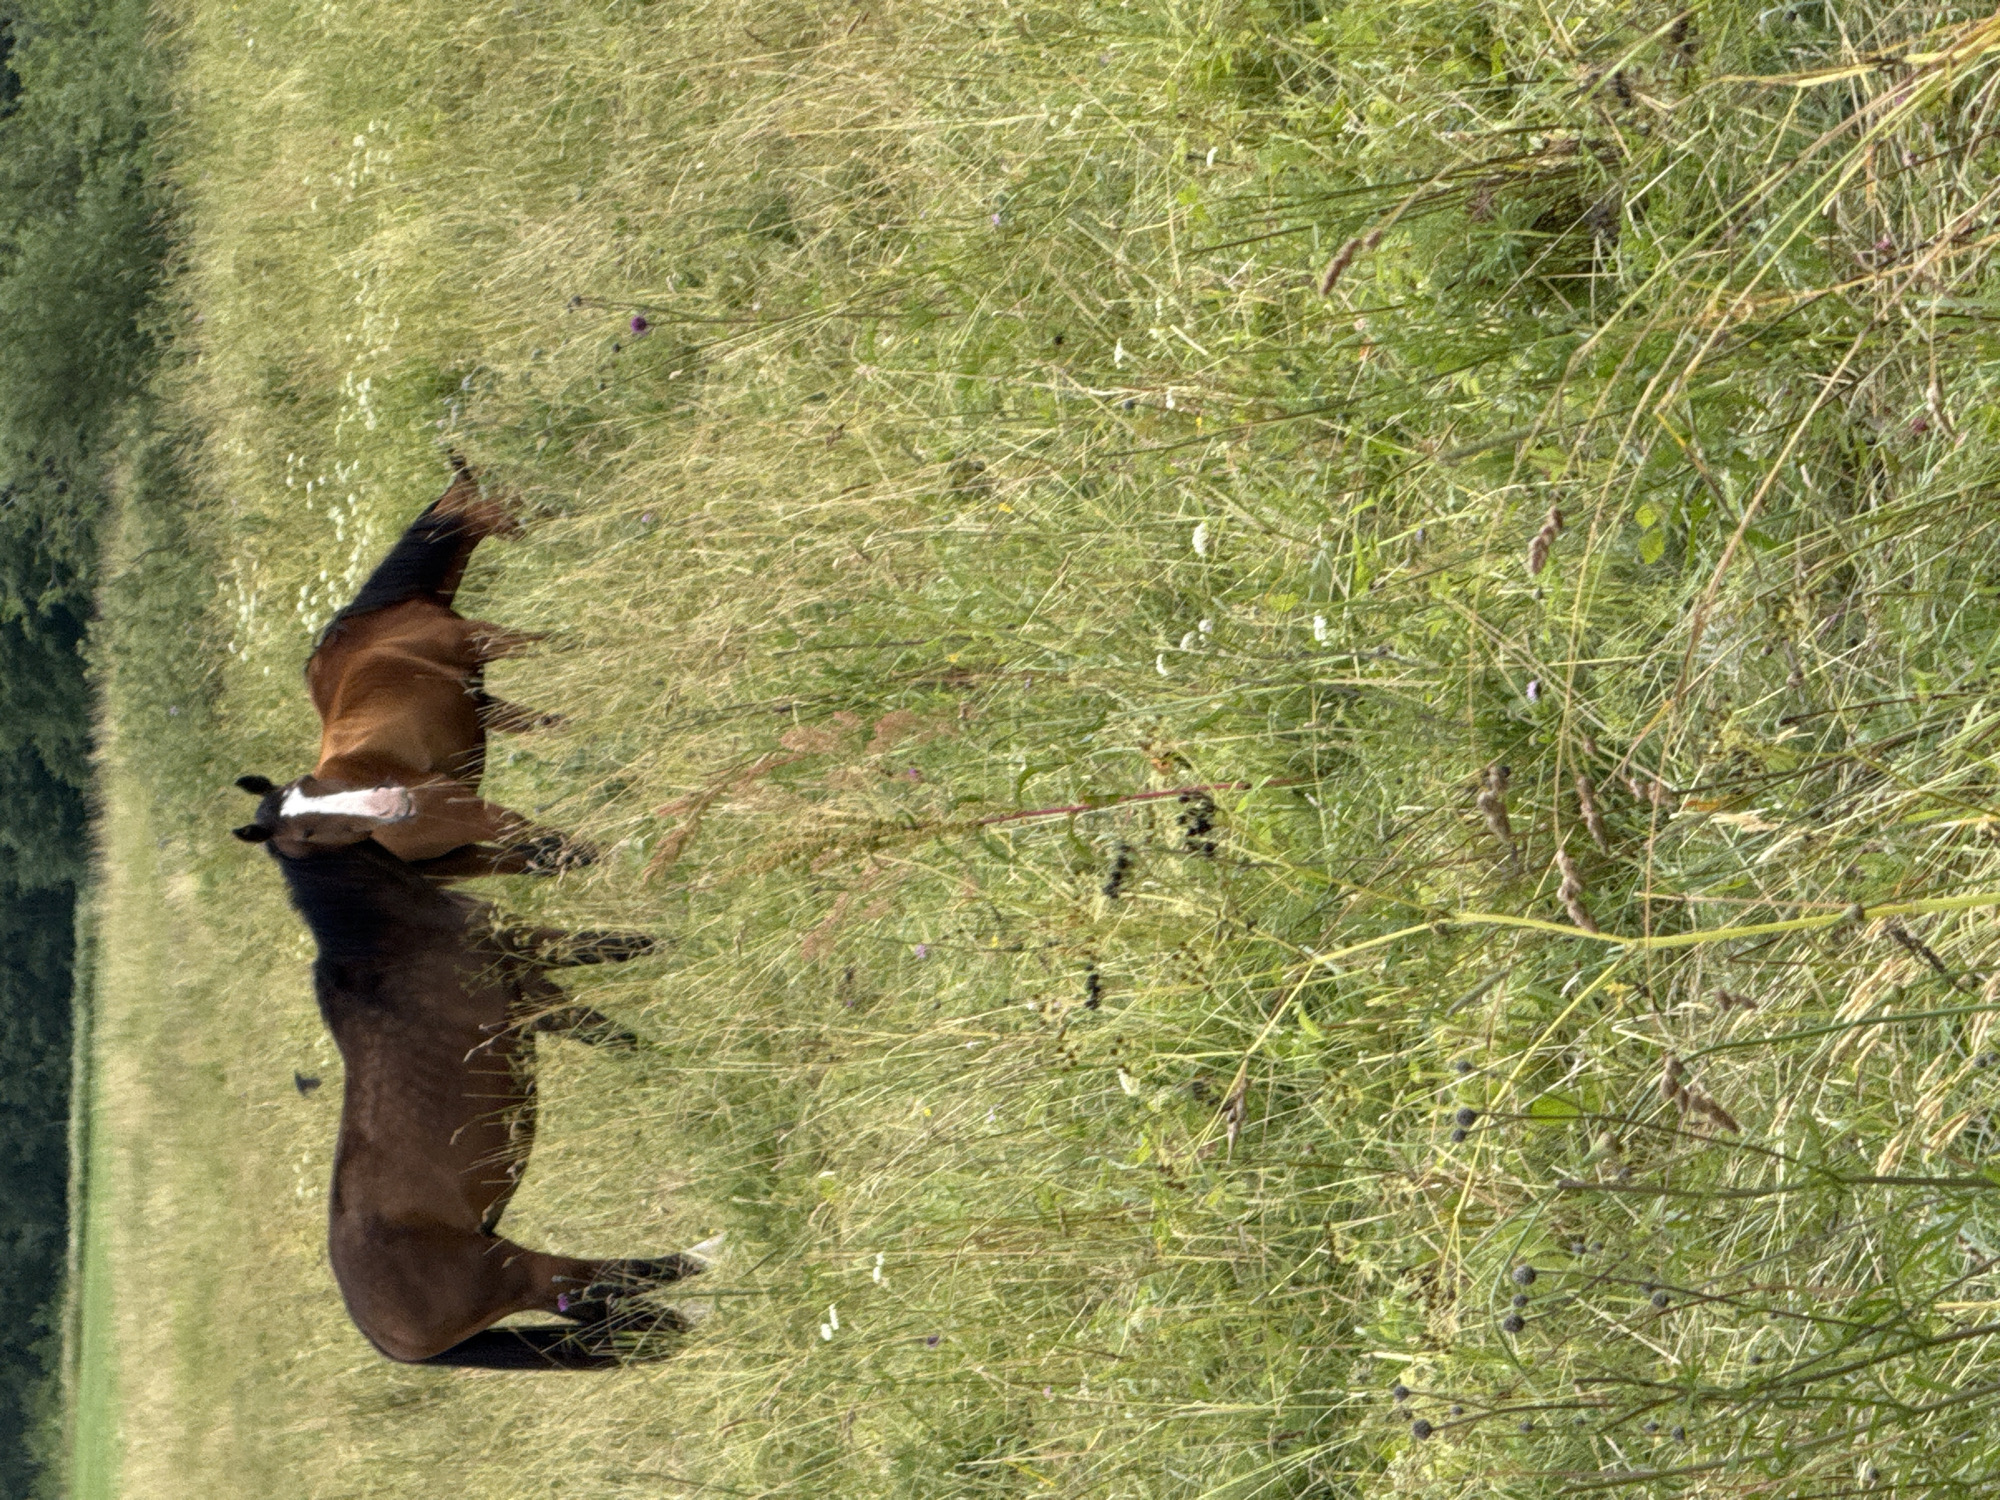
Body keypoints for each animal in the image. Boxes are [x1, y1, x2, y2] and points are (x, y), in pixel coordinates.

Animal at [231, 457, 588, 875]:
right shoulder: (484, 639)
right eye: (496, 484)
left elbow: (548, 723)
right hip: (480, 818)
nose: (558, 504)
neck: (388, 615)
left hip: (463, 858)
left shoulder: (480, 701)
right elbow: (553, 644)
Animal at [260, 831, 709, 1368]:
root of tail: (380, 1335)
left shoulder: (531, 973)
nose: (562, 854)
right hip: (515, 1273)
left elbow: (614, 986)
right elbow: (614, 981)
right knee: (599, 1281)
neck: (388, 939)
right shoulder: (531, 983)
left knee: (606, 1310)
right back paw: (701, 1259)